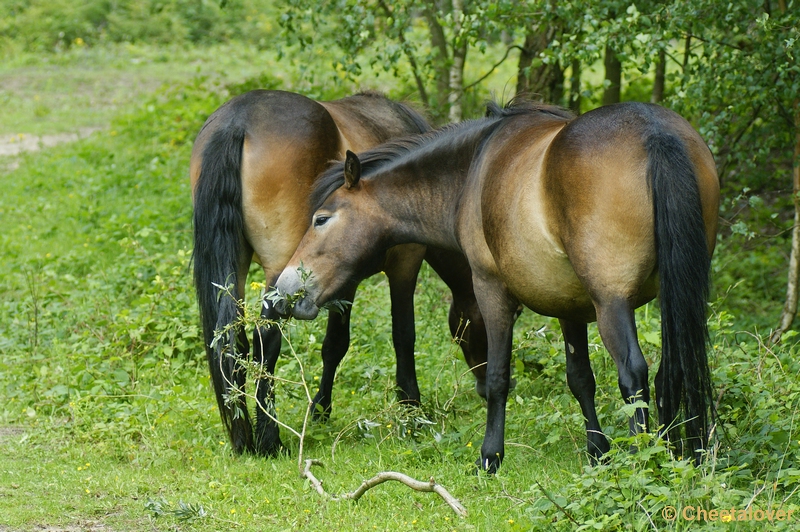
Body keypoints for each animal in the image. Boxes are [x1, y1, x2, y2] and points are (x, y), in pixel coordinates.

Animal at [191, 91, 488, 458]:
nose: (486, 384)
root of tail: (239, 118)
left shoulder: (339, 281)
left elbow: (334, 344)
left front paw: (321, 408)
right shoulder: (405, 263)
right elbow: (402, 336)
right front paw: (410, 408)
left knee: (233, 340)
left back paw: (243, 435)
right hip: (280, 273)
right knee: (266, 340)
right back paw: (270, 438)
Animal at [274, 100, 720, 470]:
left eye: (322, 219)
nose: (285, 288)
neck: (473, 170)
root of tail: (652, 130)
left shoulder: (491, 290)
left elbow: (498, 378)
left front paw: (490, 456)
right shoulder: (570, 305)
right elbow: (581, 379)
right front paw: (597, 453)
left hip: (612, 304)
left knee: (633, 374)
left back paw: (646, 459)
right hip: (674, 298)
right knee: (670, 372)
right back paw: (684, 454)